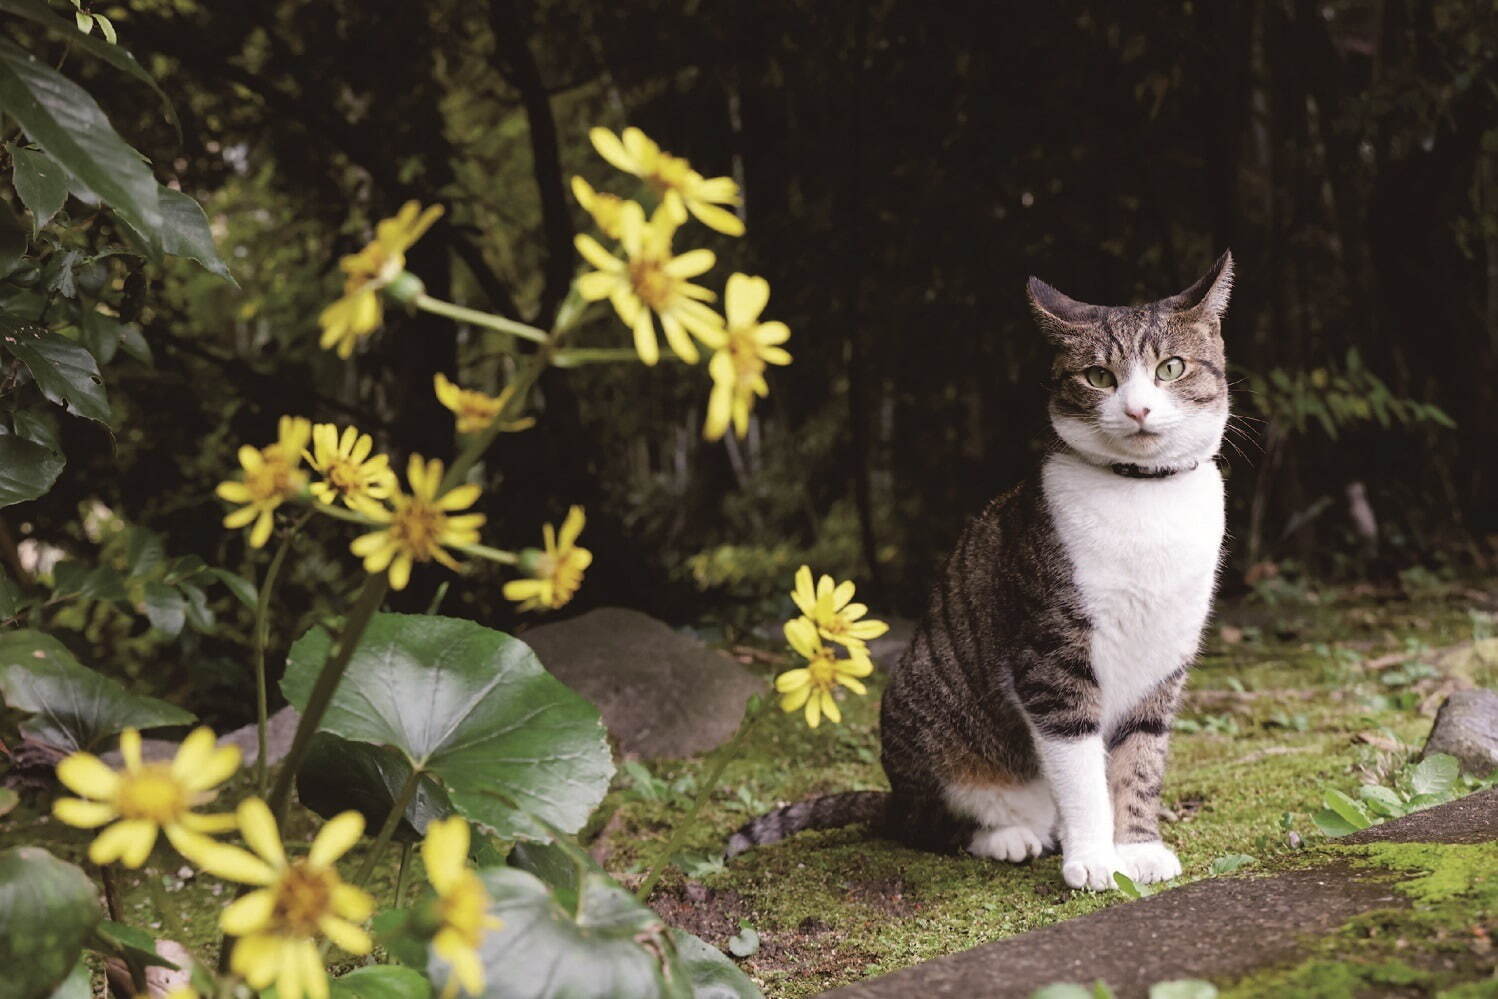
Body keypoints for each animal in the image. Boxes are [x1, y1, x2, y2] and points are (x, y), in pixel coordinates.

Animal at [722, 250, 1228, 892]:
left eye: (1171, 367)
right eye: (1098, 377)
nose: (1137, 408)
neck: (1144, 498)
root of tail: (895, 798)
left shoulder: (1165, 657)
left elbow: (1140, 761)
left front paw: (1137, 847)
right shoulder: (1052, 656)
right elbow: (1081, 769)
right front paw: (1094, 859)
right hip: (926, 720)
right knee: (929, 826)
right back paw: (1008, 836)